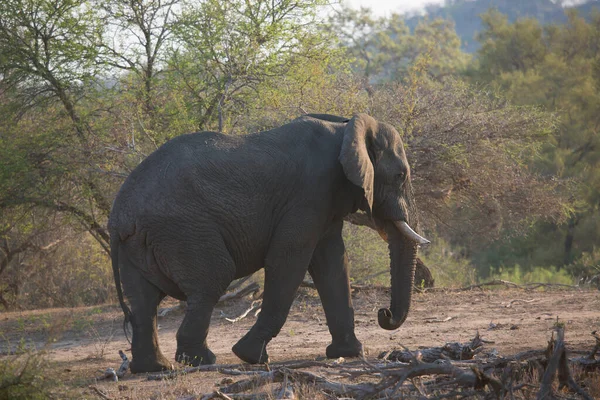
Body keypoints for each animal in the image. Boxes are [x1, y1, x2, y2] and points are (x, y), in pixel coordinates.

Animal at [108, 111, 426, 372]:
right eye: (400, 175)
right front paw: (251, 356)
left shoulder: (326, 199)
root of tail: (118, 214)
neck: (346, 128)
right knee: (213, 278)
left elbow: (333, 263)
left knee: (143, 300)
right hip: (182, 229)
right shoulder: (309, 194)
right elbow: (290, 261)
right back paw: (200, 361)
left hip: (139, 241)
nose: (384, 313)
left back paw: (154, 367)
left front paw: (349, 353)